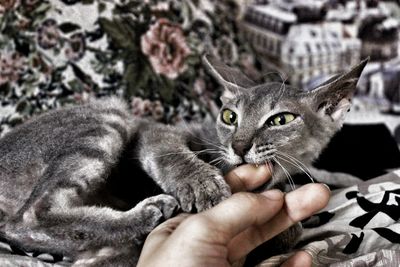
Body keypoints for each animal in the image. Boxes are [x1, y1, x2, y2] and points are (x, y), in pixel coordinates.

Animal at [0, 55, 368, 266]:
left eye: (280, 120)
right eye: (230, 116)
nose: (238, 145)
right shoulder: (154, 131)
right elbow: (172, 154)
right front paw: (202, 183)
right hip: (110, 113)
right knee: (29, 216)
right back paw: (146, 214)